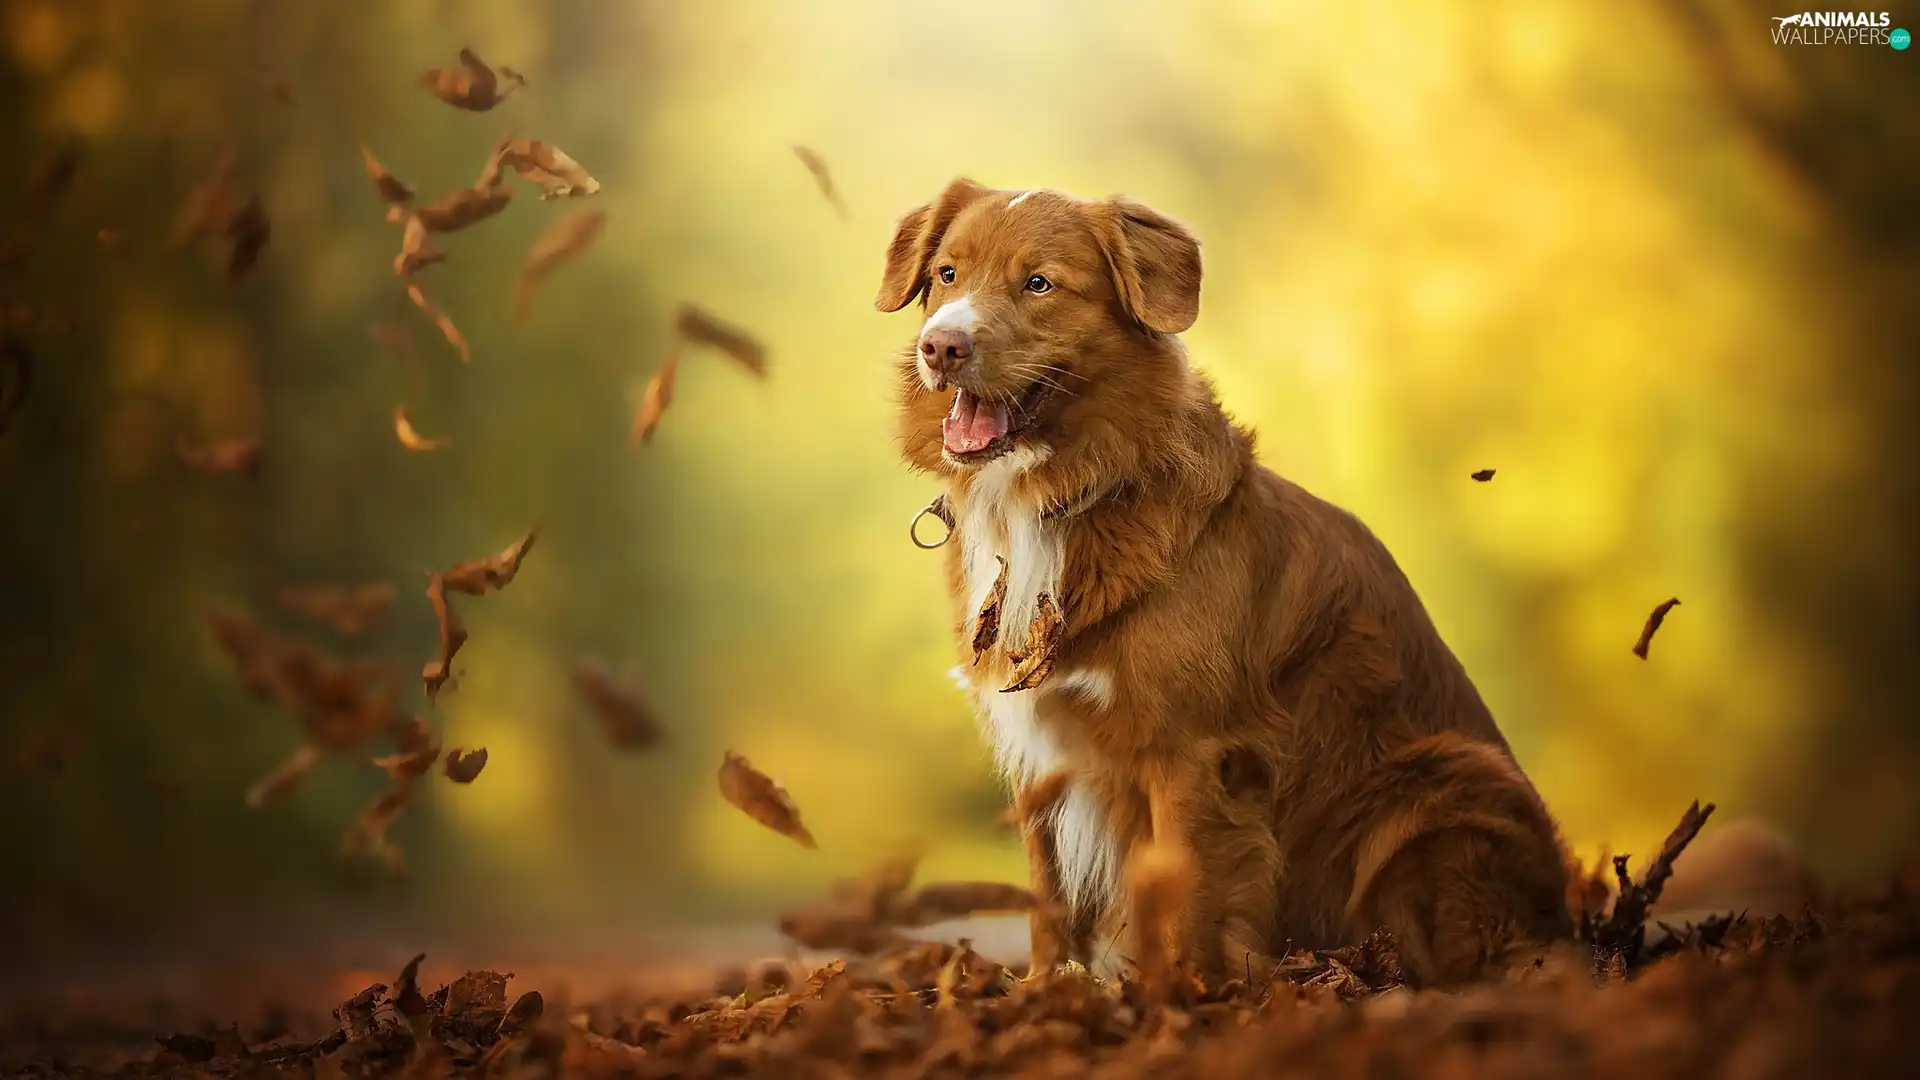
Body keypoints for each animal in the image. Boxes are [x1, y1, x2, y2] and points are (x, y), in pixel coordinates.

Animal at [879, 178, 1574, 983]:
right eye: (947, 276)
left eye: (1039, 283)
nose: (940, 345)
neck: (1059, 495)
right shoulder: (1042, 742)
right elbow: (1048, 895)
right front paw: (1049, 989)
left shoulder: (1188, 746)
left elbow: (1182, 884)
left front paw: (1176, 993)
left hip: (1443, 779)